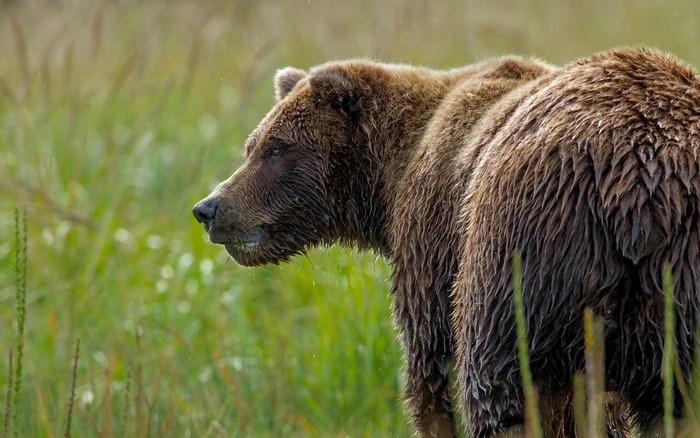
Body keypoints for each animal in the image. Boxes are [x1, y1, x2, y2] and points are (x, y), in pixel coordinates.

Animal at [193, 47, 700, 437]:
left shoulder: (432, 239)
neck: (390, 178)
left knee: (498, 385)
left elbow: (429, 371)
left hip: (527, 250)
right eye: (252, 146)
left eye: (276, 148)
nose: (209, 208)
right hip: (674, 288)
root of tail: (638, 188)